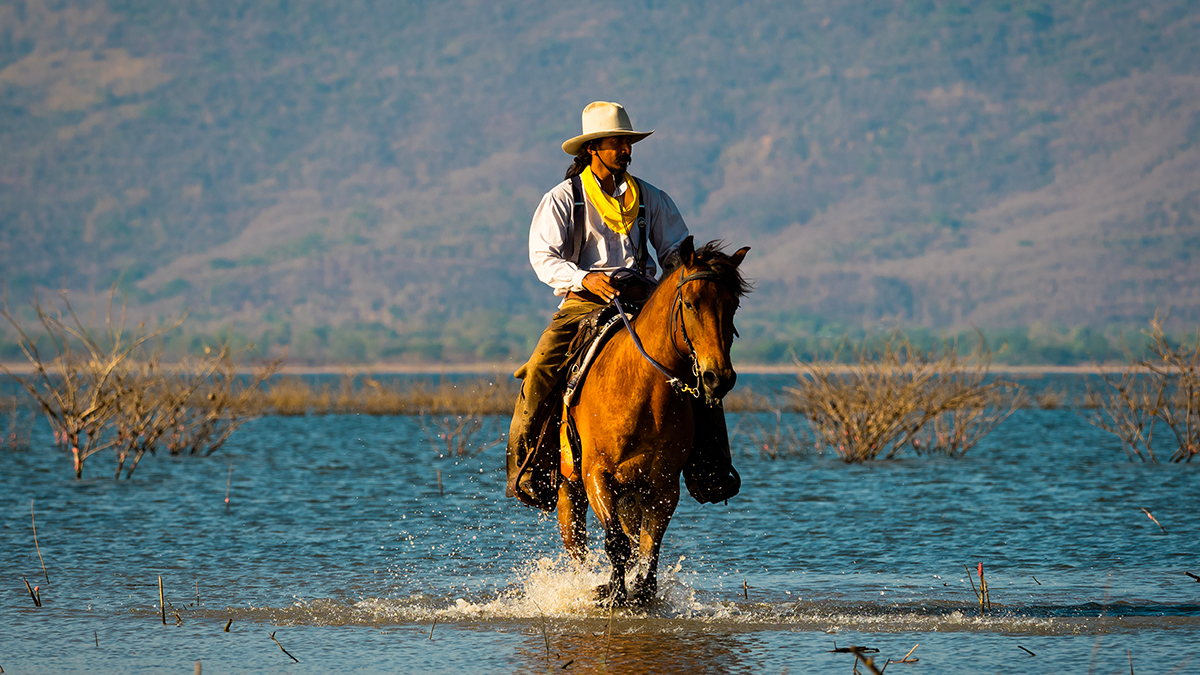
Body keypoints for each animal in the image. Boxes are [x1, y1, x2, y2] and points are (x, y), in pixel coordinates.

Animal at [554, 237, 744, 605]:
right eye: (690, 303)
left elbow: (649, 549)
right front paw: (612, 594)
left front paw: (639, 593)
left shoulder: (663, 485)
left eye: (734, 306)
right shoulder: (596, 475)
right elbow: (616, 544)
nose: (718, 378)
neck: (641, 391)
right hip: (570, 490)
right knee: (578, 549)